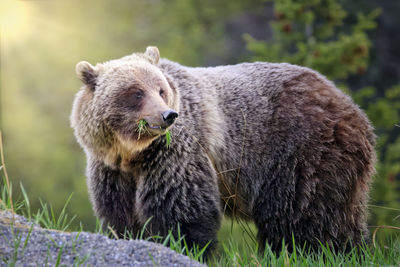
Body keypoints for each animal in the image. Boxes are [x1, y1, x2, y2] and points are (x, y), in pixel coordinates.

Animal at [71, 46, 376, 258]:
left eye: (161, 89)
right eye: (136, 92)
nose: (168, 115)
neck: (132, 153)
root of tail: (350, 105)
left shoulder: (175, 154)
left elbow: (182, 208)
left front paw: (185, 247)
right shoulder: (111, 168)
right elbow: (119, 213)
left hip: (300, 151)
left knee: (302, 214)